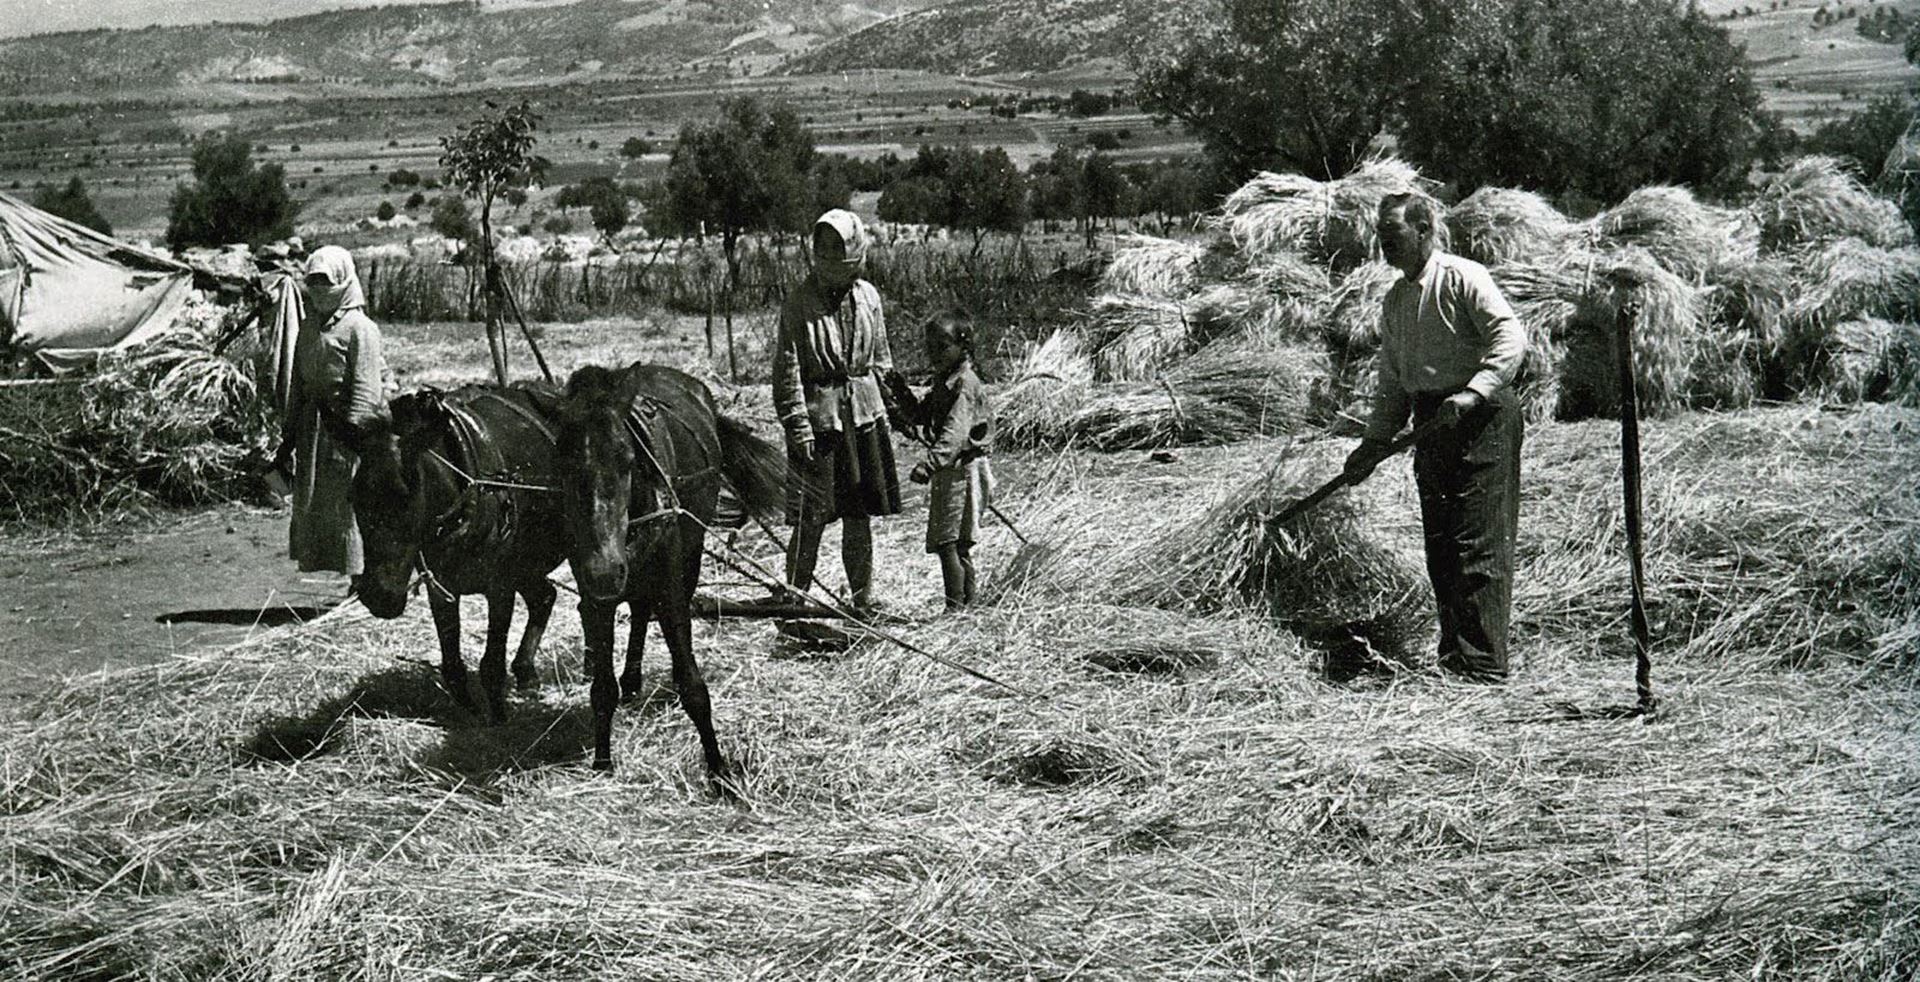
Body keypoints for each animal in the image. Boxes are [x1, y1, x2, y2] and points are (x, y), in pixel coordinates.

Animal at [349, 384, 564, 722]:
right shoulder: (442, 585)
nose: (379, 596)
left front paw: (498, 720)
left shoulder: (500, 587)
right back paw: (526, 672)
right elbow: (451, 664)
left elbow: (491, 666)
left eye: (408, 498)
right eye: (354, 498)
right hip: (527, 565)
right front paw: (470, 710)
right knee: (544, 596)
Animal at [556, 361, 787, 776]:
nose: (606, 570)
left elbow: (693, 686)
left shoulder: (671, 590)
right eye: (562, 462)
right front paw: (602, 760)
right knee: (638, 609)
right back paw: (631, 680)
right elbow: (601, 688)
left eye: (627, 458)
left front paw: (718, 769)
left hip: (688, 558)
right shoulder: (594, 597)